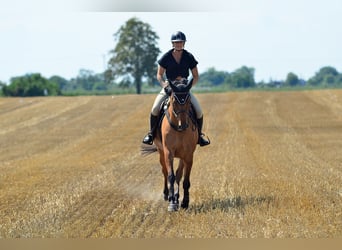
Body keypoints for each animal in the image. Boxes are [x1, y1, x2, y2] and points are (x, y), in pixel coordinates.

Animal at [141, 78, 198, 211]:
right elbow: (170, 176)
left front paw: (184, 202)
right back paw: (167, 195)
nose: (183, 124)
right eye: (173, 100)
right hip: (161, 152)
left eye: (188, 100)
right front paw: (172, 203)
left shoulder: (188, 155)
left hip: (182, 156)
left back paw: (177, 197)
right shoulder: (168, 152)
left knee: (179, 174)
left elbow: (185, 179)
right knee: (165, 172)